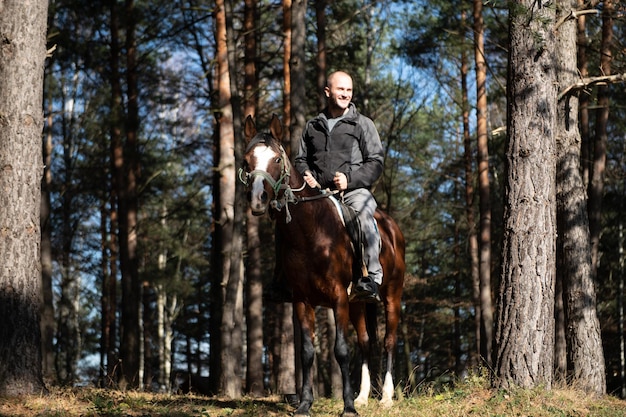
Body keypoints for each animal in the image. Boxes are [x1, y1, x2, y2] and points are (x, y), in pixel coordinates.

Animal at [239, 114, 404, 416]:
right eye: (247, 160)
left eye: (276, 159)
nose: (258, 200)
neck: (311, 231)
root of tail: (391, 227)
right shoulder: (302, 300)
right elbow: (306, 352)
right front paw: (305, 404)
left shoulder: (338, 296)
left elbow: (341, 350)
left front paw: (348, 407)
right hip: (357, 304)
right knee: (365, 342)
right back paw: (364, 396)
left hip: (392, 296)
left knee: (389, 341)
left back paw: (386, 396)